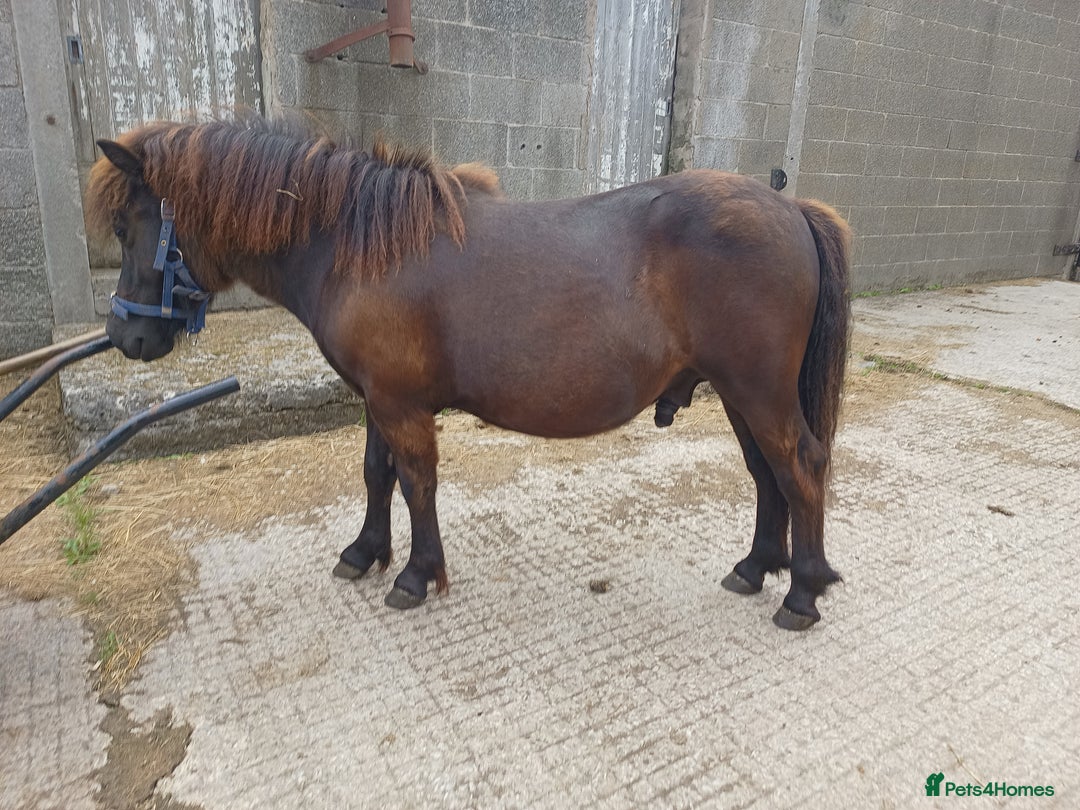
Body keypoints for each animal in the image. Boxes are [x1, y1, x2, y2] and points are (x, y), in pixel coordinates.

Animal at [86, 117, 851, 630]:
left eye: (128, 225)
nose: (124, 335)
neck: (356, 244)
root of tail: (791, 207)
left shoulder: (401, 405)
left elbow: (416, 482)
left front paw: (416, 574)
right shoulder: (376, 398)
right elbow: (377, 474)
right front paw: (365, 552)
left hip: (758, 391)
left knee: (802, 467)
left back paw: (803, 592)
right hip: (739, 393)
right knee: (768, 474)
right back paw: (756, 568)